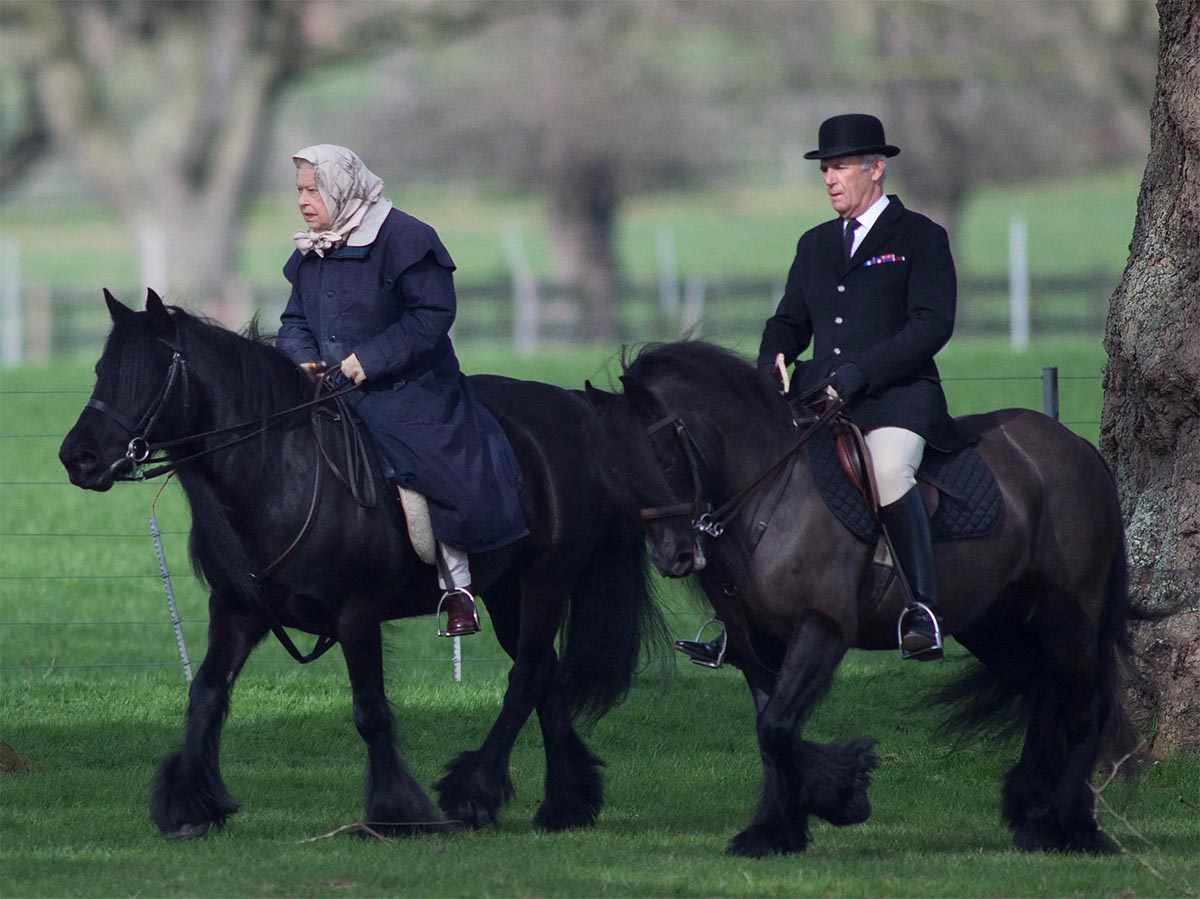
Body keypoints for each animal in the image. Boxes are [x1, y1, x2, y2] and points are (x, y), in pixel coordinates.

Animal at [60, 289, 662, 840]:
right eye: (102, 371)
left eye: (146, 375)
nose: (77, 458)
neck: (285, 471)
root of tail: (574, 411)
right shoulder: (236, 611)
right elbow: (206, 694)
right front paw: (188, 805)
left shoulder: (356, 615)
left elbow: (369, 710)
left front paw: (397, 812)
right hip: (506, 591)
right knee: (545, 675)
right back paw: (566, 804)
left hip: (545, 581)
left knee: (526, 677)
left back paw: (473, 795)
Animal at [590, 340, 1132, 854]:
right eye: (615, 467)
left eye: (662, 458)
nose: (674, 557)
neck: (769, 497)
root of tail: (1078, 448)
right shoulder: (756, 642)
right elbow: (770, 731)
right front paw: (774, 831)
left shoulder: (822, 628)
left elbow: (778, 728)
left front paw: (842, 796)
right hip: (992, 621)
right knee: (1040, 686)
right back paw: (1033, 810)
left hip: (1070, 616)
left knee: (1088, 706)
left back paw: (1069, 826)